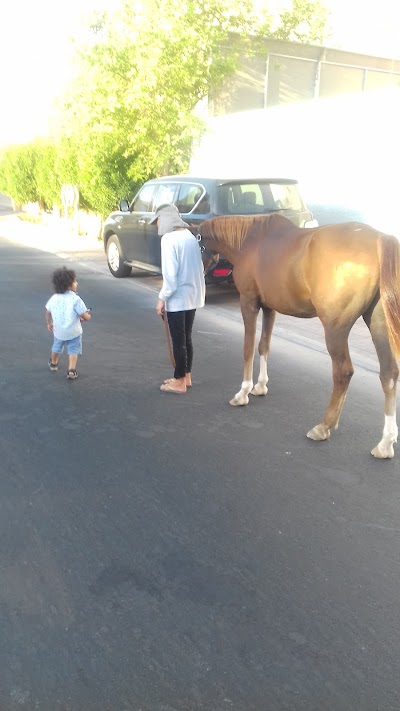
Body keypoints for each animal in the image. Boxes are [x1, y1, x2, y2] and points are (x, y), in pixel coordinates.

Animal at [200, 211, 400, 458]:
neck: (250, 241)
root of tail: (379, 239)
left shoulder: (248, 303)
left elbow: (248, 348)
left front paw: (243, 393)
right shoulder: (269, 308)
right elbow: (264, 346)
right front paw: (260, 386)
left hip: (335, 328)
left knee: (343, 372)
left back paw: (323, 426)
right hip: (378, 322)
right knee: (389, 374)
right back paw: (385, 443)